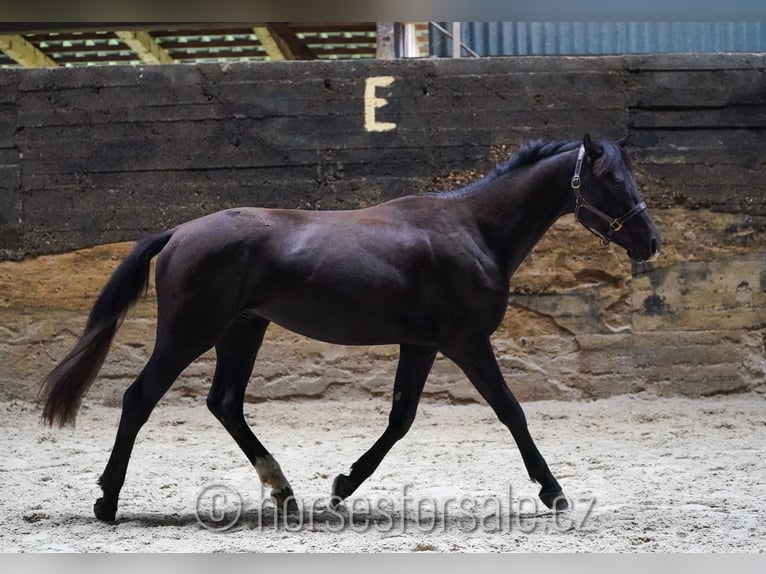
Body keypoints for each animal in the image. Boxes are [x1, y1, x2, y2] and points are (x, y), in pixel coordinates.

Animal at [40, 135, 660, 520]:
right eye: (610, 180)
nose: (651, 241)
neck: (473, 230)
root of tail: (177, 233)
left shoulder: (422, 345)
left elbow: (400, 420)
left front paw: (341, 486)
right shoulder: (466, 343)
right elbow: (511, 411)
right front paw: (553, 492)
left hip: (243, 330)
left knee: (225, 403)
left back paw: (284, 492)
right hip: (189, 333)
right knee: (139, 398)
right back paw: (107, 502)